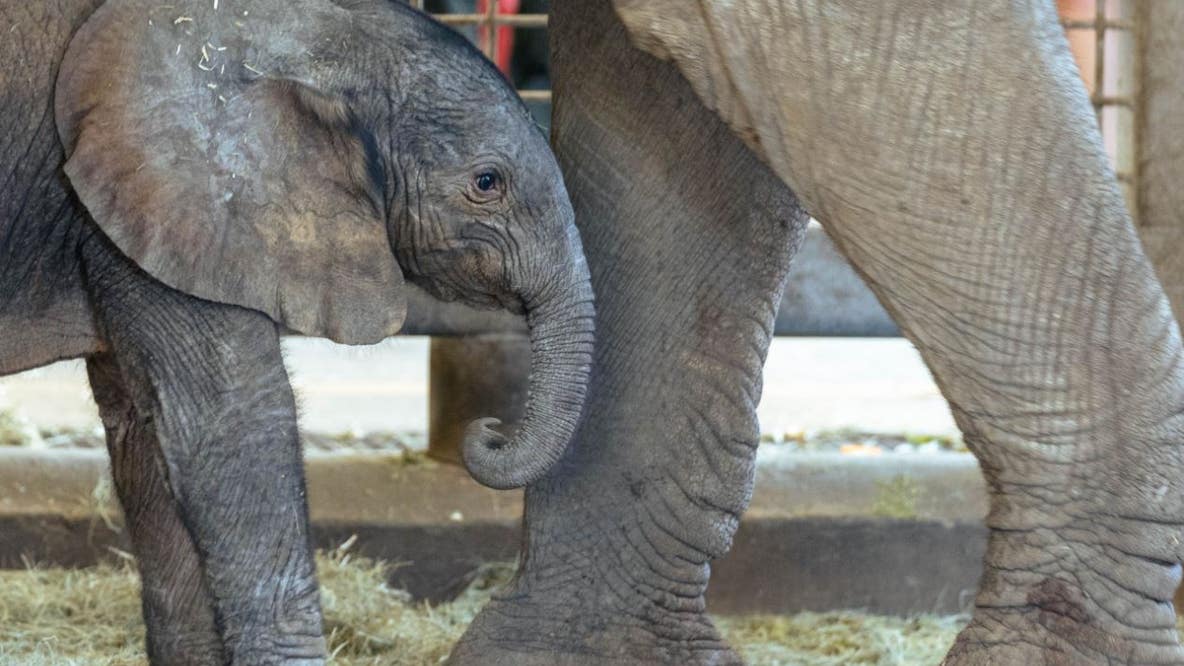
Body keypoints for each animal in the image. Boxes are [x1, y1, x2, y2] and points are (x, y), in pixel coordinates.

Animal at [1, 0, 592, 662]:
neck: (292, 29)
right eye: (488, 183)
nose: (489, 429)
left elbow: (145, 430)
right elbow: (234, 426)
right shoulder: (185, 200)